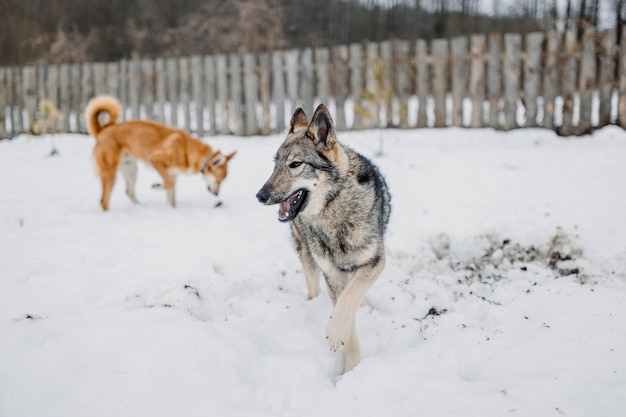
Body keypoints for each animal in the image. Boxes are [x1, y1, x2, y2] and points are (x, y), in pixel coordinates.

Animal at [84, 95, 235, 210]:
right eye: (219, 180)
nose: (216, 194)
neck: (186, 150)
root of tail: (102, 131)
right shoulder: (156, 160)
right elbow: (168, 185)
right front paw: (156, 186)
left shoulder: (173, 175)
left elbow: (171, 197)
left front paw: (172, 210)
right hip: (110, 173)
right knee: (103, 200)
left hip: (131, 170)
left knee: (129, 192)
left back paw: (141, 207)